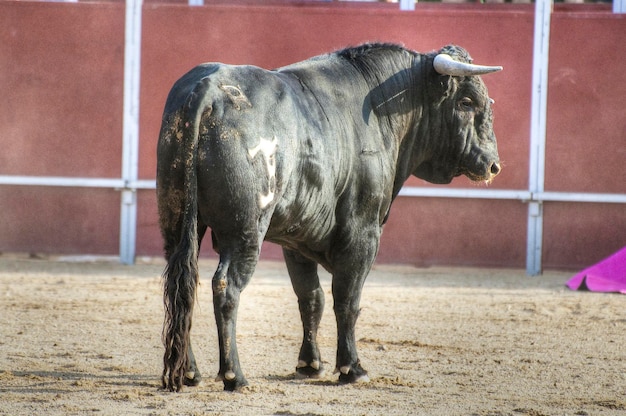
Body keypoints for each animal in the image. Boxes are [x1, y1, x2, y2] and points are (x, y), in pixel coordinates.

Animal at [157, 44, 502, 392]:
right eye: (467, 102)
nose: (493, 165)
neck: (380, 109)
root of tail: (209, 88)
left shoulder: (295, 238)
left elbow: (311, 297)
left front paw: (310, 364)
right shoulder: (363, 232)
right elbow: (347, 298)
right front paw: (352, 368)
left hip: (178, 224)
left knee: (181, 283)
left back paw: (190, 372)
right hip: (245, 232)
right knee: (226, 287)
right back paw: (234, 375)